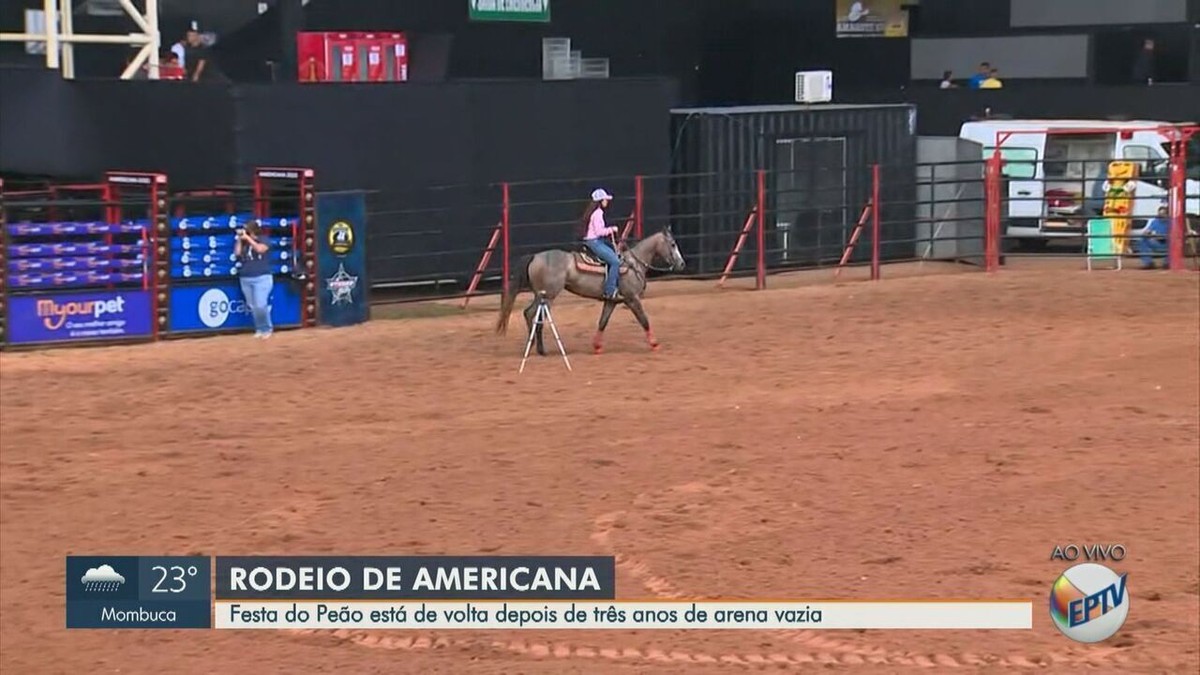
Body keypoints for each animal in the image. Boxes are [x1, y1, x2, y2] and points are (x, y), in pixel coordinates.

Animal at [494, 225, 686, 355]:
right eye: (672, 244)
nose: (682, 264)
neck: (634, 264)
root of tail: (535, 257)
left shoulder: (611, 301)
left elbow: (602, 322)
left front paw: (597, 346)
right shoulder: (632, 299)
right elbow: (644, 320)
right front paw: (654, 343)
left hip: (541, 295)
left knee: (532, 314)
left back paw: (537, 347)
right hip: (548, 296)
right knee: (533, 314)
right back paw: (536, 347)